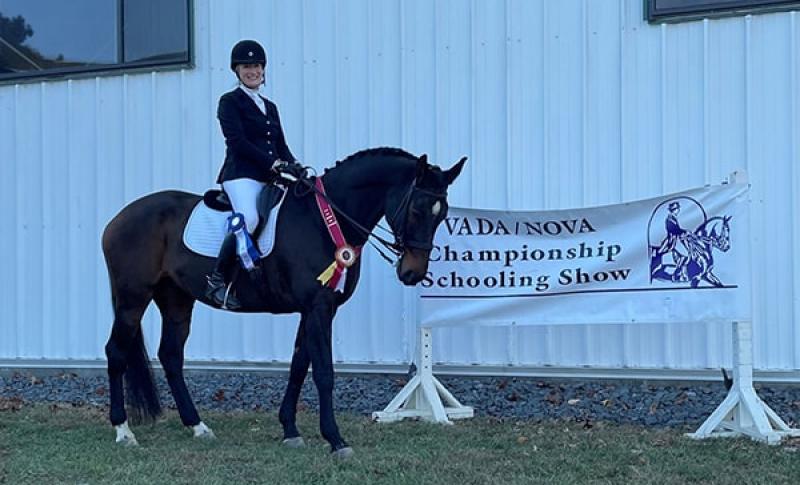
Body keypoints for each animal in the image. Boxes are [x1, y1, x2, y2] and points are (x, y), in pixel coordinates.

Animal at [101, 147, 466, 454]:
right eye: (417, 209)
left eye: (442, 213)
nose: (413, 273)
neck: (325, 220)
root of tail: (118, 218)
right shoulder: (318, 308)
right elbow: (323, 372)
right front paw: (335, 439)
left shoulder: (315, 309)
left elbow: (298, 367)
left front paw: (290, 430)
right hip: (133, 299)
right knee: (116, 352)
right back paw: (123, 431)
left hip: (176, 300)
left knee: (171, 356)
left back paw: (198, 427)